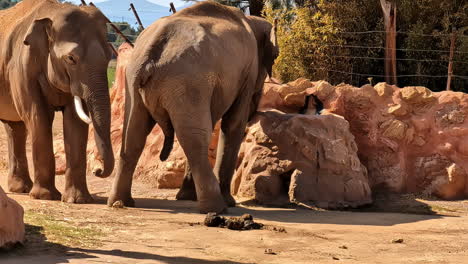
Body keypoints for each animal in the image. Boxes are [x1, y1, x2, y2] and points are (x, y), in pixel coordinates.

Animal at [0, 0, 114, 203]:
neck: (53, 11)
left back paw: (21, 188)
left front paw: (77, 200)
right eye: (71, 58)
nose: (98, 170)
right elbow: (37, 116)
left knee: (15, 127)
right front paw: (45, 196)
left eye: (109, 56)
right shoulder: (21, 68)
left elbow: (75, 121)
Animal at [108, 1, 278, 213]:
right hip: (186, 82)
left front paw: (187, 197)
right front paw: (228, 201)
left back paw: (121, 202)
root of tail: (151, 54)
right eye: (274, 58)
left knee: (133, 136)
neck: (251, 19)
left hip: (134, 81)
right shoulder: (248, 71)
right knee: (195, 139)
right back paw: (217, 208)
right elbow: (233, 124)